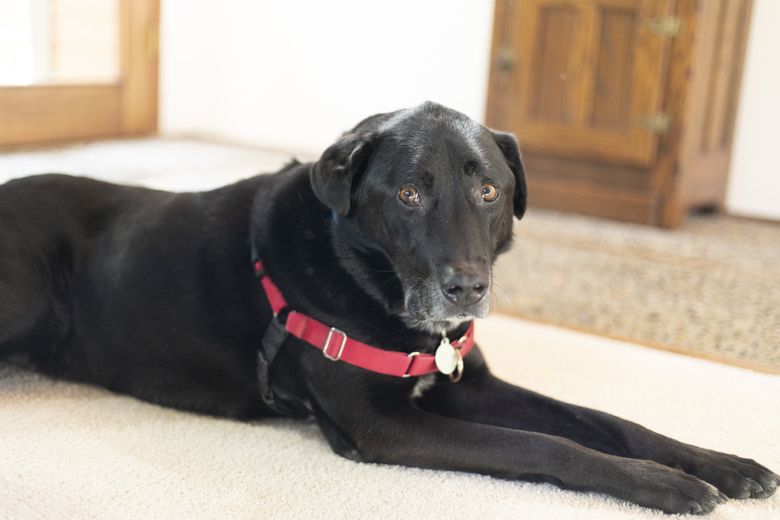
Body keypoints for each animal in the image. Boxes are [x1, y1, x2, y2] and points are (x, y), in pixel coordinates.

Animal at [0, 102, 776, 516]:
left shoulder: (469, 383)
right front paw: (665, 484)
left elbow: (606, 421)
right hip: (31, 294)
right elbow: (540, 445)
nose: (467, 288)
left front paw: (720, 463)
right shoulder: (383, 425)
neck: (367, 275)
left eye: (489, 191)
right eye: (409, 194)